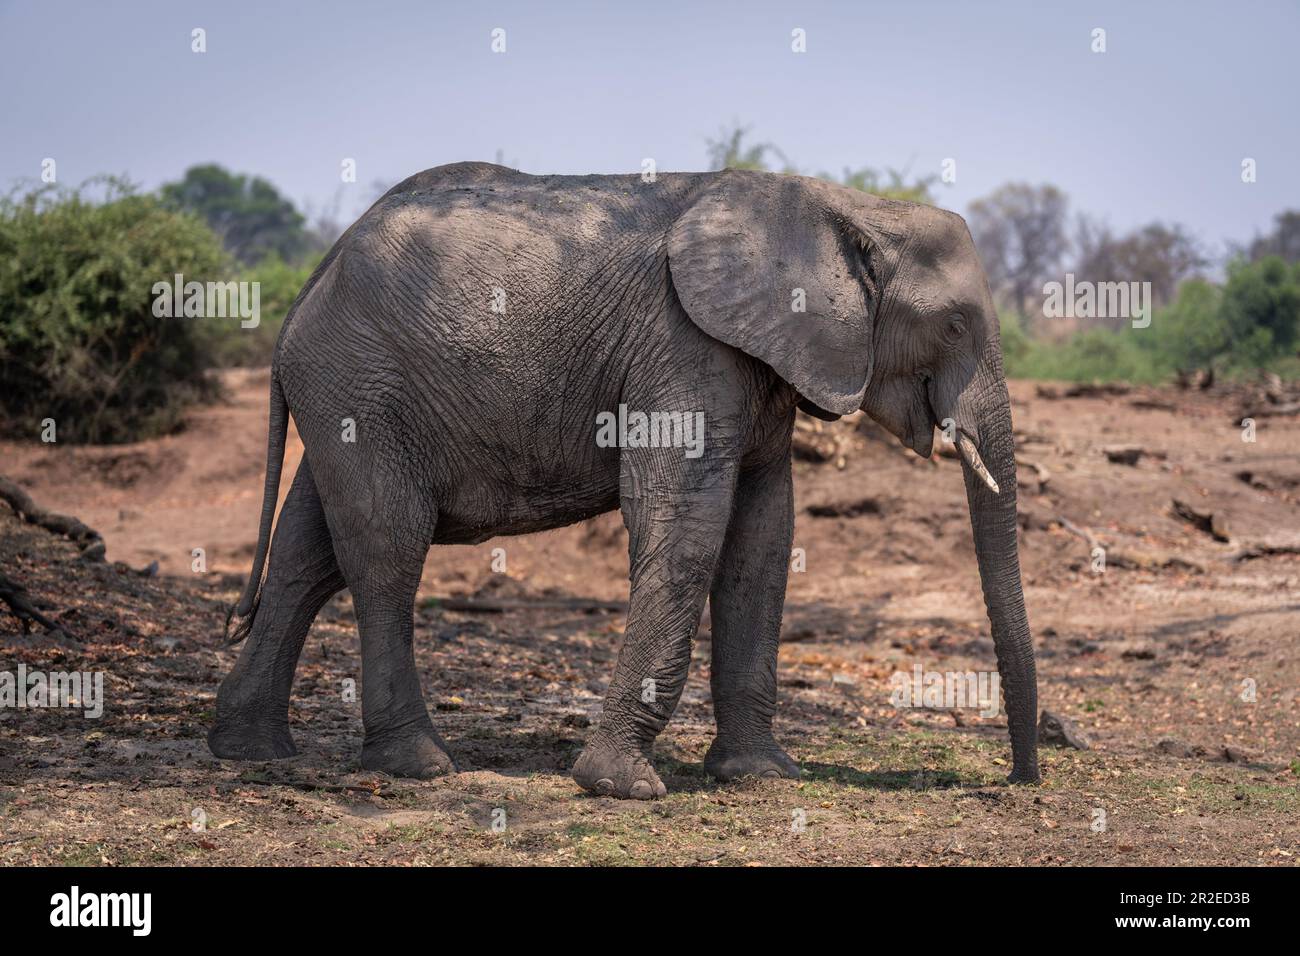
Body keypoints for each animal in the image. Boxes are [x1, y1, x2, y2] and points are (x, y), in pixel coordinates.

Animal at [208, 161, 1040, 798]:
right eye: (957, 325)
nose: (1019, 779)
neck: (842, 205)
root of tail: (311, 281)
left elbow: (763, 543)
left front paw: (762, 776)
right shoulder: (685, 346)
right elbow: (685, 529)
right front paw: (622, 788)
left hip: (346, 395)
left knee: (306, 558)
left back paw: (247, 750)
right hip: (361, 384)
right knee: (386, 552)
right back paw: (419, 766)